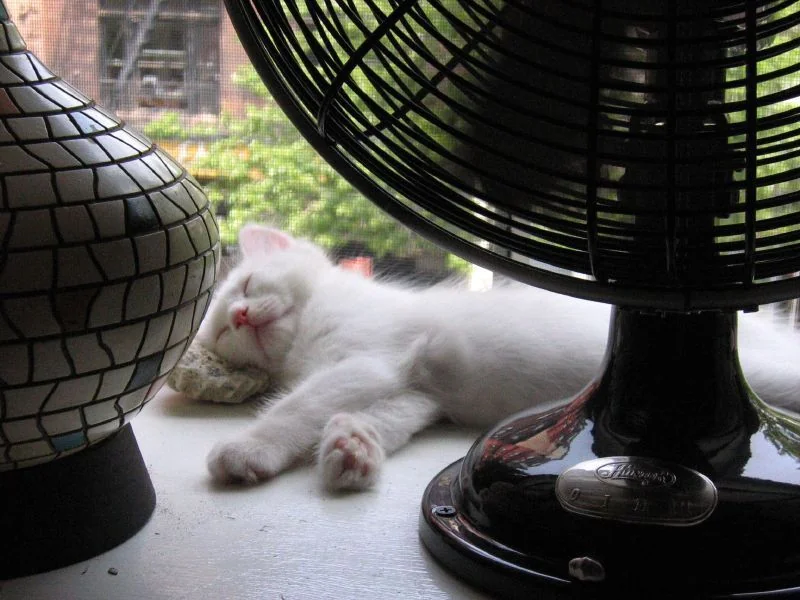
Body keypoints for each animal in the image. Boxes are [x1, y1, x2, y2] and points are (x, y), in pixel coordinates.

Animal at [195, 225, 800, 492]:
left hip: (766, 375)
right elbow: (385, 417)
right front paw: (352, 449)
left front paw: (248, 448)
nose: (242, 316)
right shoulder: (416, 390)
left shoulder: (368, 358)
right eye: (224, 332)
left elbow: (299, 406)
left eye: (246, 284)